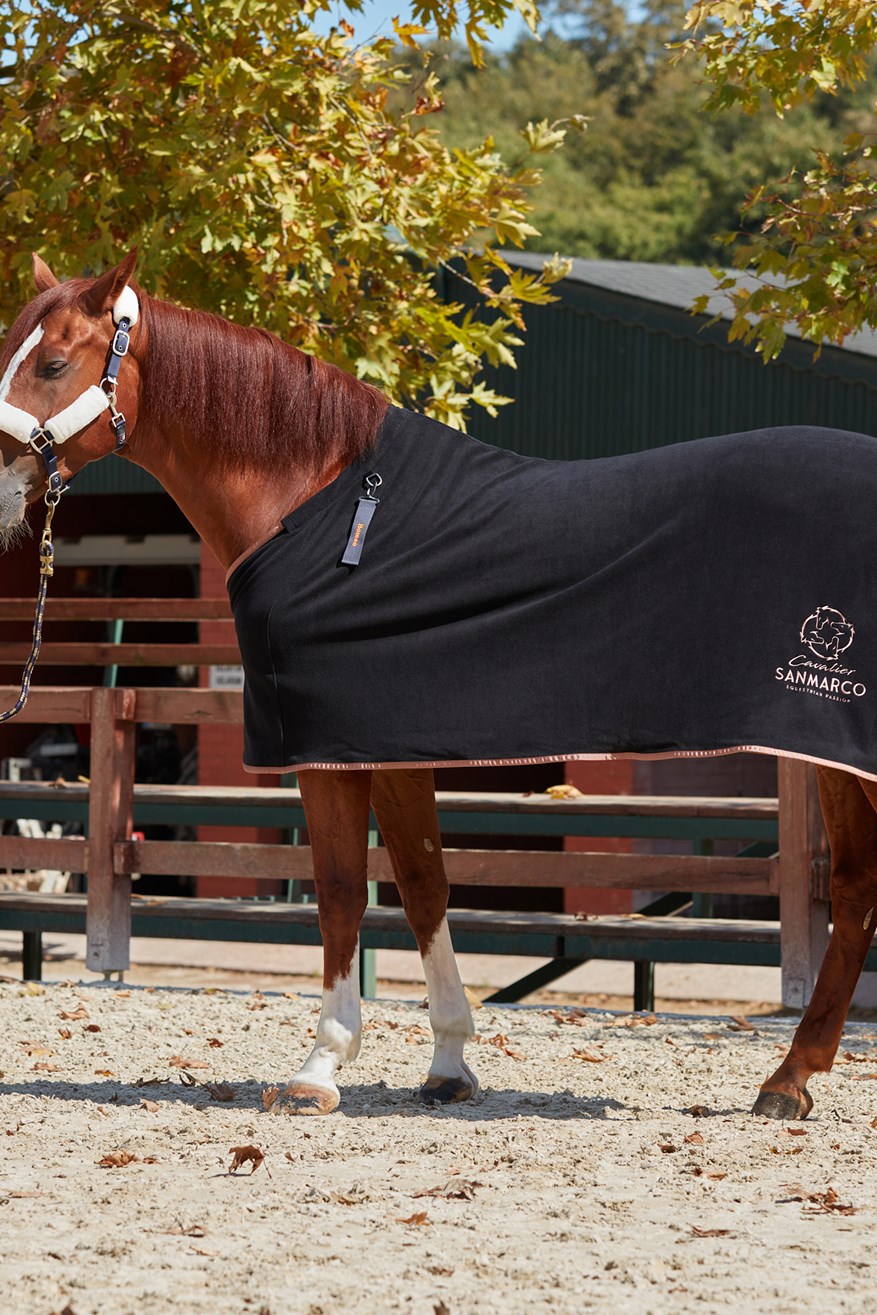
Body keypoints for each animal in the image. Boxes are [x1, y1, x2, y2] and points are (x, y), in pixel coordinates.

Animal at [2, 250, 876, 1123]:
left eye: (53, 363)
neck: (325, 503)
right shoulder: (388, 750)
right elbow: (424, 885)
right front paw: (450, 1063)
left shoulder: (326, 754)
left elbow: (341, 891)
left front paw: (320, 1068)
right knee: (855, 884)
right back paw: (789, 1079)